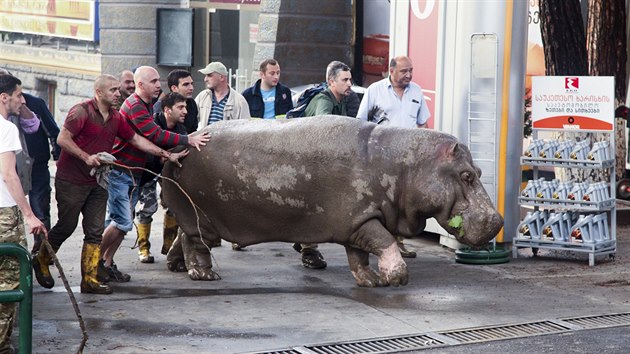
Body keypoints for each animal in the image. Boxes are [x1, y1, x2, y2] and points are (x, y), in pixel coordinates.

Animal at [162, 117, 504, 288]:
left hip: (197, 217)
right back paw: (204, 275)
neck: (406, 164)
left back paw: (175, 266)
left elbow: (360, 255)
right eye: (466, 175)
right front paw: (397, 279)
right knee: (195, 244)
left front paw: (372, 281)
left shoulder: (358, 221)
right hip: (201, 217)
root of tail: (182, 144)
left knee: (182, 237)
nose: (498, 220)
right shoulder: (364, 218)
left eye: (480, 171)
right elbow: (384, 241)